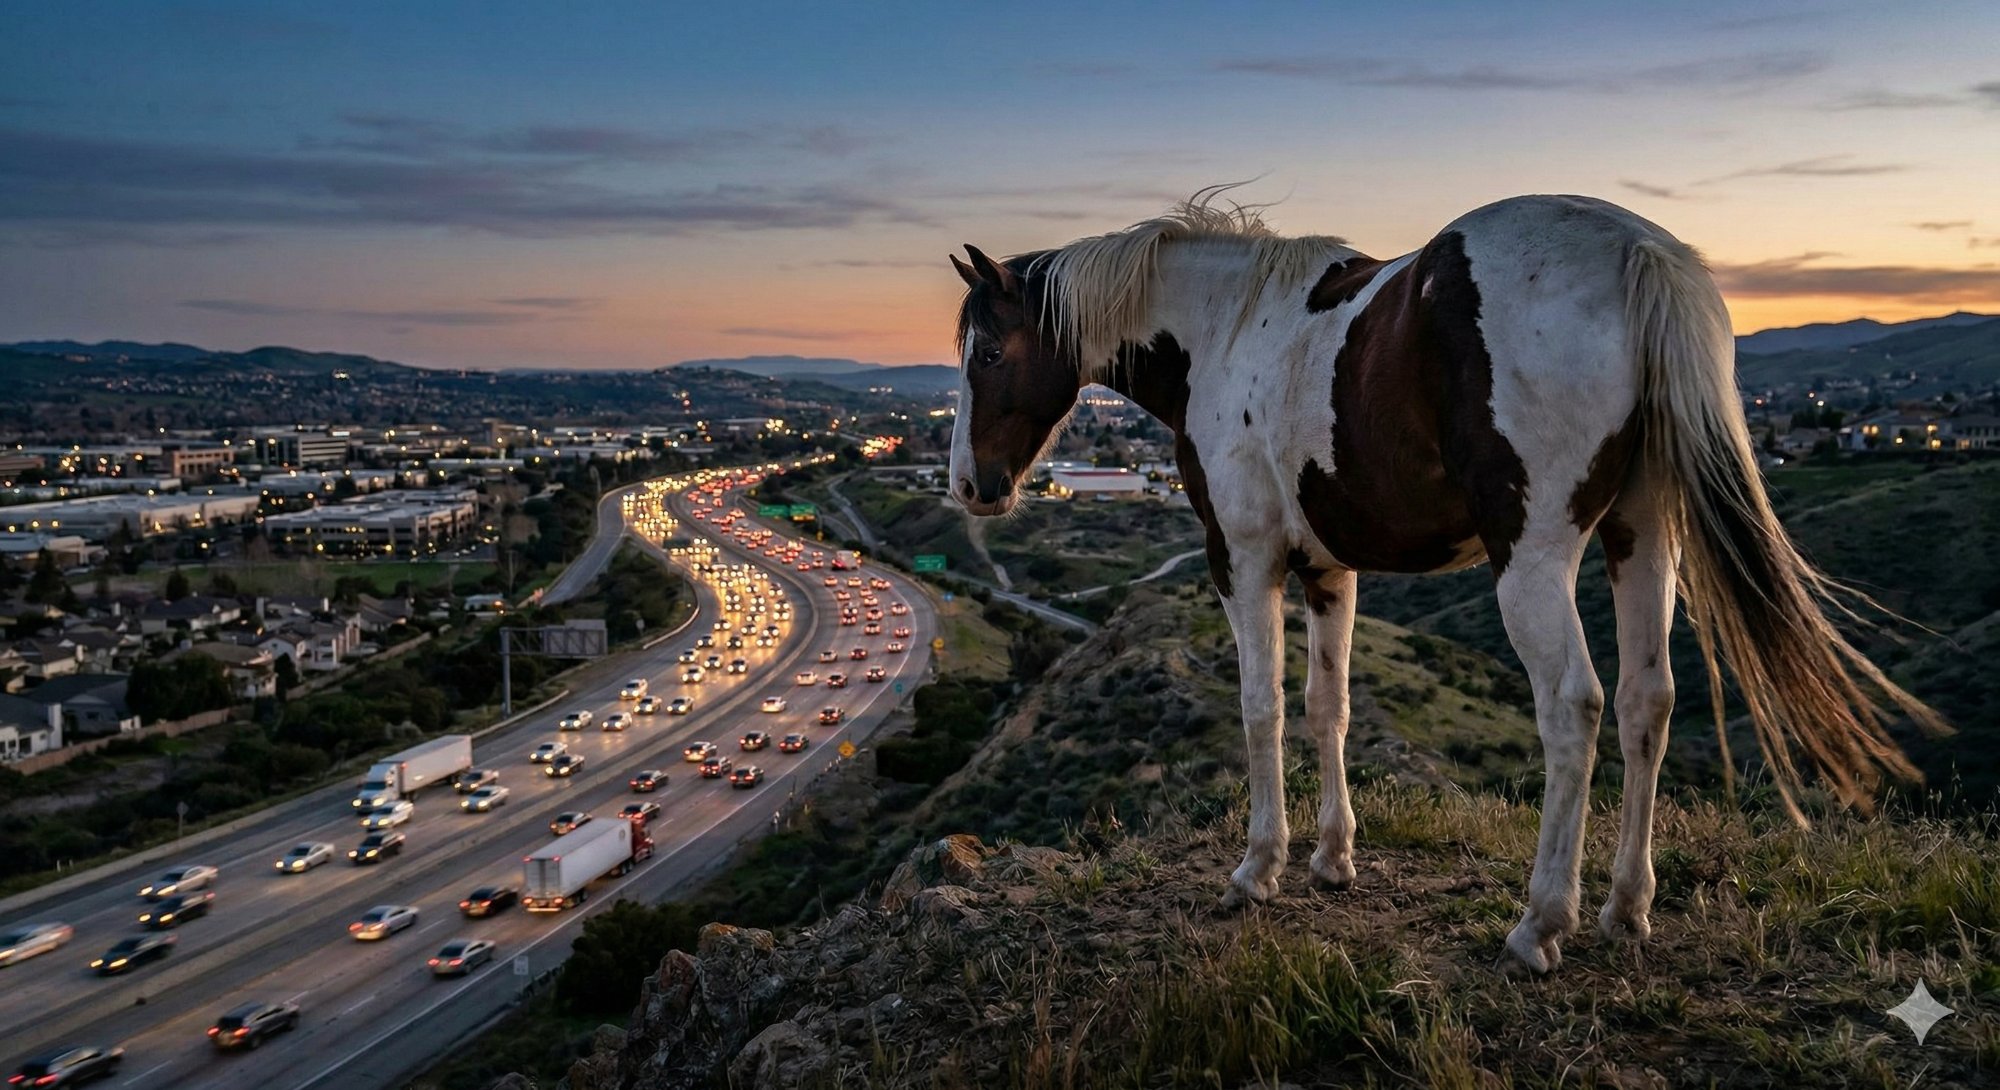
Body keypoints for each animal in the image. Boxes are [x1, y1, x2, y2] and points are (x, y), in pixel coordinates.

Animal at [944, 190, 1943, 973]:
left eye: (987, 353)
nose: (970, 487)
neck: (1222, 328)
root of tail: (1640, 252)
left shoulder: (1245, 559)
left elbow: (1263, 708)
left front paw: (1258, 868)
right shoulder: (1331, 570)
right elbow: (1329, 706)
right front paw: (1333, 858)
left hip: (1533, 558)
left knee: (1574, 708)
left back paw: (1541, 925)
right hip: (1642, 536)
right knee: (1645, 702)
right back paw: (1625, 909)